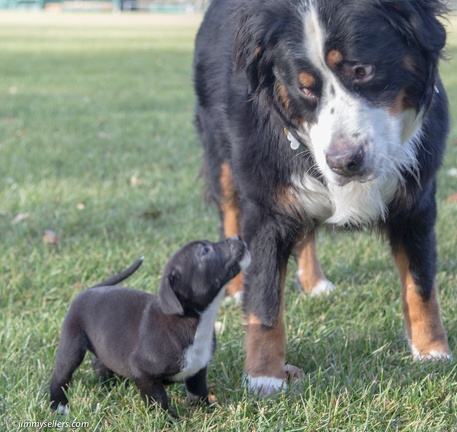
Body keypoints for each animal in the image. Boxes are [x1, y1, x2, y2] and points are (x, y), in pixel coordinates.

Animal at [50, 236, 249, 416]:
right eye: (204, 251)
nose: (238, 237)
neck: (195, 321)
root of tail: (88, 290)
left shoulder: (198, 367)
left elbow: (198, 391)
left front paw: (205, 411)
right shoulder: (143, 373)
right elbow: (159, 399)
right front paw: (168, 419)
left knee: (99, 361)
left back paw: (108, 384)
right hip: (72, 347)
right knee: (60, 375)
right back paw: (58, 404)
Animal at [191, 0, 448, 394]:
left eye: (362, 70)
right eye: (305, 89)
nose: (344, 161)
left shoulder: (416, 201)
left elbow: (420, 285)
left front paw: (432, 351)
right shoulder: (267, 205)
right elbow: (264, 297)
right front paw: (264, 376)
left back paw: (314, 282)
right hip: (220, 157)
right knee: (231, 215)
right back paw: (234, 286)